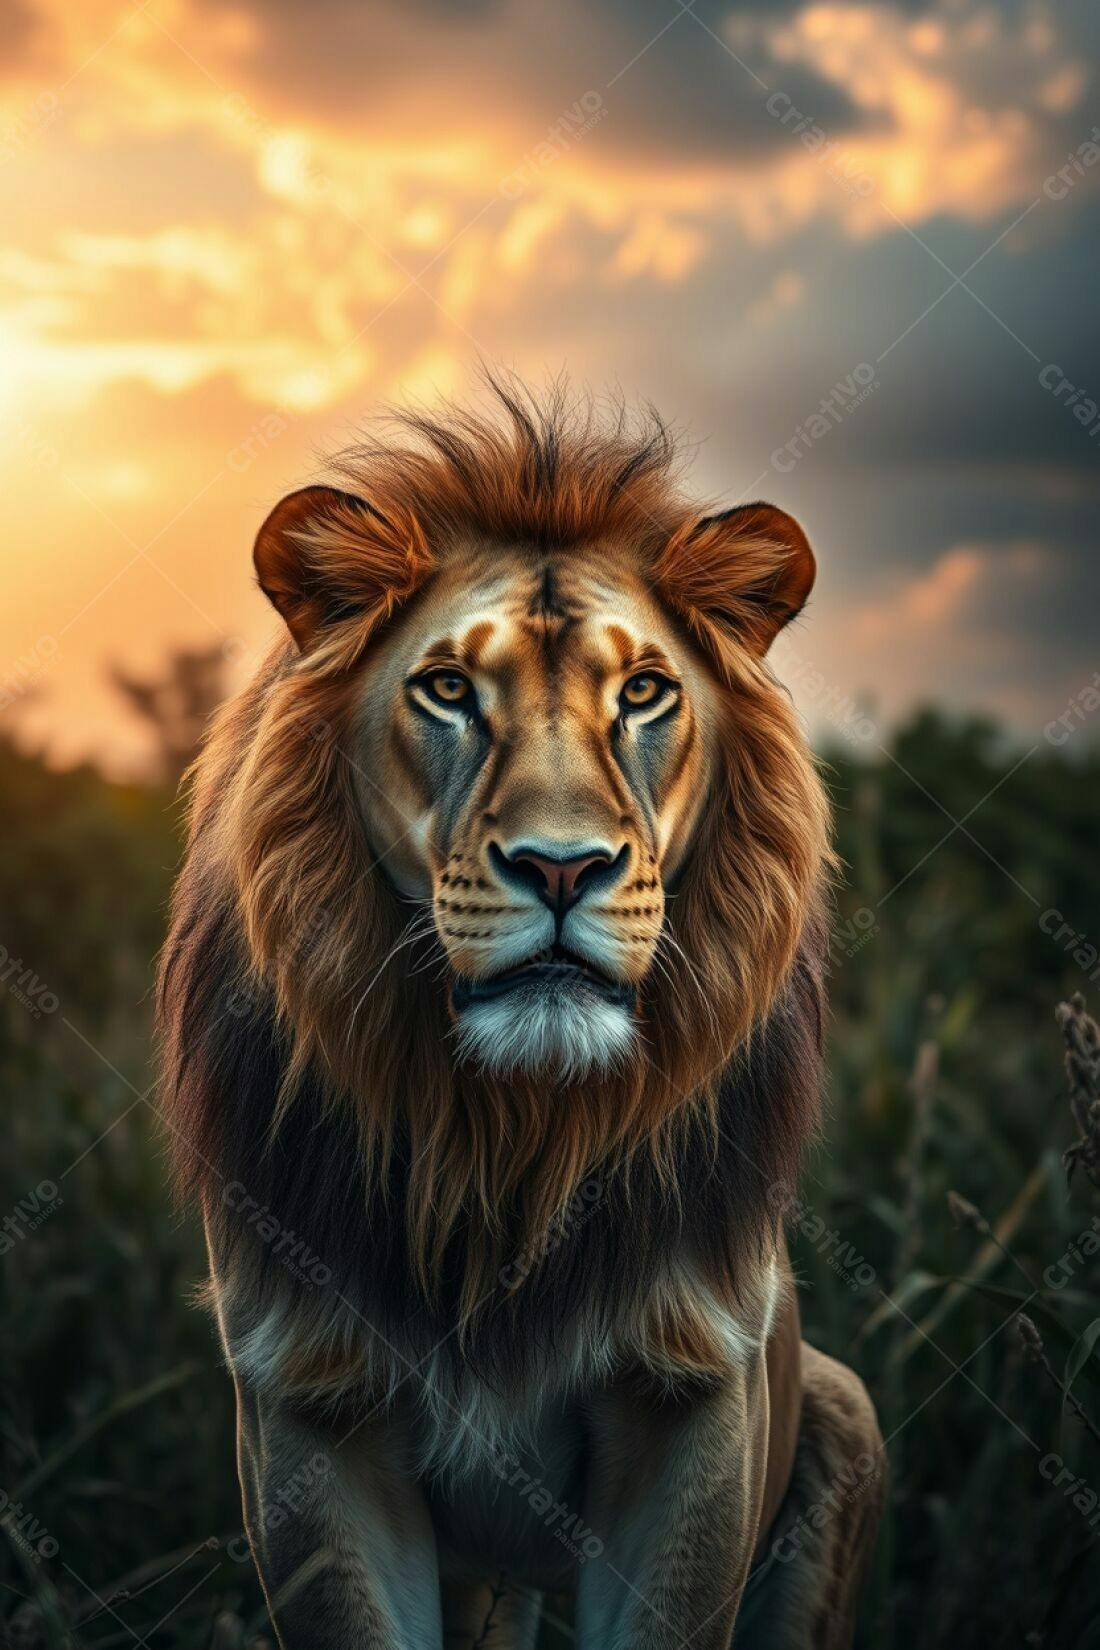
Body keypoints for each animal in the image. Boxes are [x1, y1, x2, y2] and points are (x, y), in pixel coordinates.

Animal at [158, 377, 884, 1649]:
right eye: (448, 689)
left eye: (642, 692)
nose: (560, 867)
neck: (508, 1138)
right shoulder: (309, 1407)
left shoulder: (695, 1393)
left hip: (841, 1403)